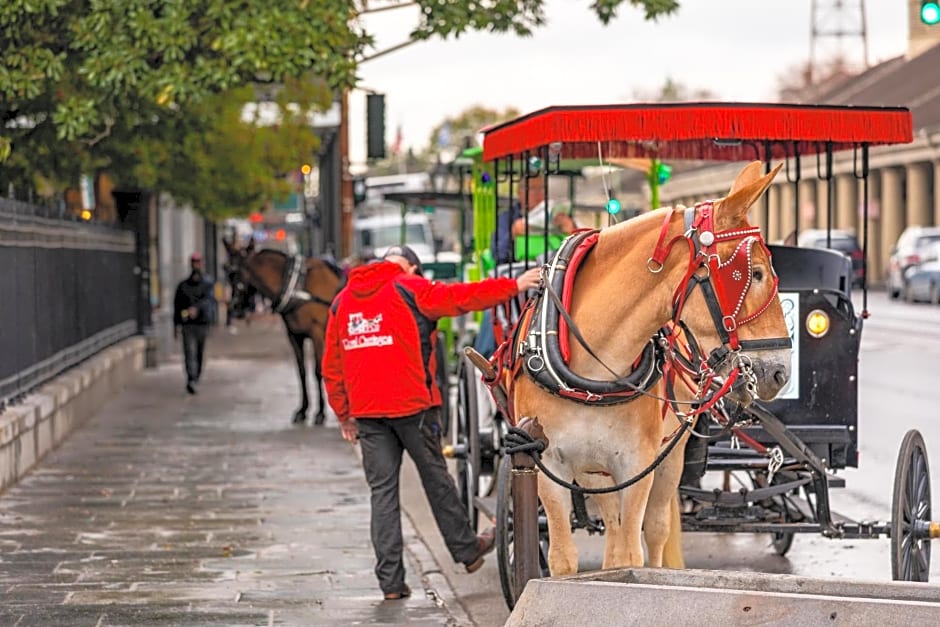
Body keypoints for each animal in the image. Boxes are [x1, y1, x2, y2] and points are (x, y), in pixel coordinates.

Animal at [222, 240, 344, 426]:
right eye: (227, 271)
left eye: (236, 273)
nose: (234, 307)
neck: (298, 287)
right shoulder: (295, 336)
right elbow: (301, 372)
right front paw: (302, 410)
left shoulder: (317, 334)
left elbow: (318, 372)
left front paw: (320, 413)